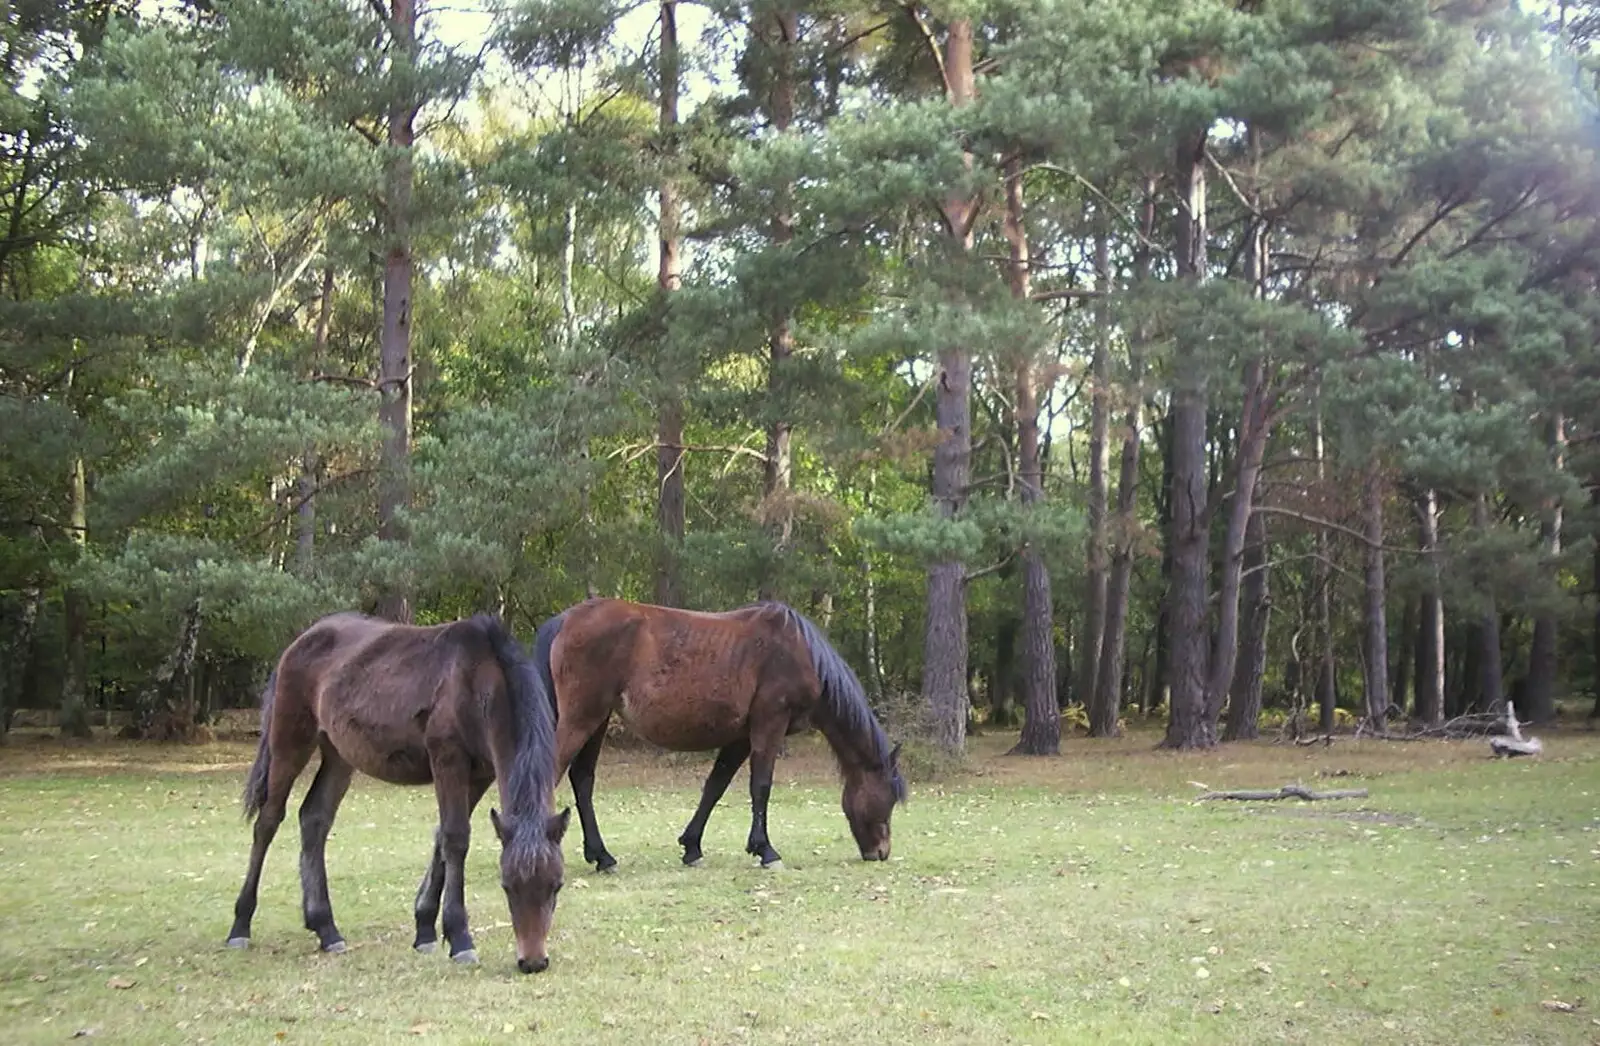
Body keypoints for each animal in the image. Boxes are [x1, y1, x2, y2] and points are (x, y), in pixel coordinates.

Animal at [225, 614, 569, 972]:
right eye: (507, 886)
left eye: (557, 886)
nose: (533, 962)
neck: (477, 680)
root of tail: (300, 641)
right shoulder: (448, 760)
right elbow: (456, 839)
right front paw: (460, 938)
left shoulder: (480, 775)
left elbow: (442, 839)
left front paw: (425, 929)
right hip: (290, 743)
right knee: (268, 822)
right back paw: (240, 927)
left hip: (339, 756)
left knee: (314, 819)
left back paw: (326, 928)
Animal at [531, 601, 908, 870]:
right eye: (888, 798)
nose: (881, 852)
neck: (798, 652)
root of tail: (566, 619)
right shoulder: (769, 724)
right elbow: (761, 786)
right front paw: (766, 850)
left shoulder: (741, 737)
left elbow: (716, 786)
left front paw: (692, 847)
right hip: (582, 718)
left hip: (597, 720)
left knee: (583, 779)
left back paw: (602, 856)